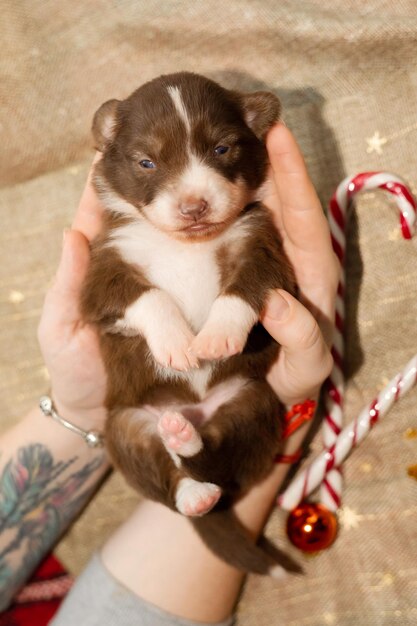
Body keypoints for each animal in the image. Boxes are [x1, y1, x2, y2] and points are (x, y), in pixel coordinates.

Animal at [81, 73, 300, 576]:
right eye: (147, 161)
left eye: (222, 148)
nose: (194, 205)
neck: (188, 243)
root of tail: (193, 411)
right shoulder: (103, 270)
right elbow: (149, 295)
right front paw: (177, 344)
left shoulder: (262, 246)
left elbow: (243, 291)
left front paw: (216, 338)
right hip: (125, 427)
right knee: (164, 477)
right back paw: (192, 487)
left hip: (253, 403)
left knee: (220, 461)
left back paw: (189, 444)